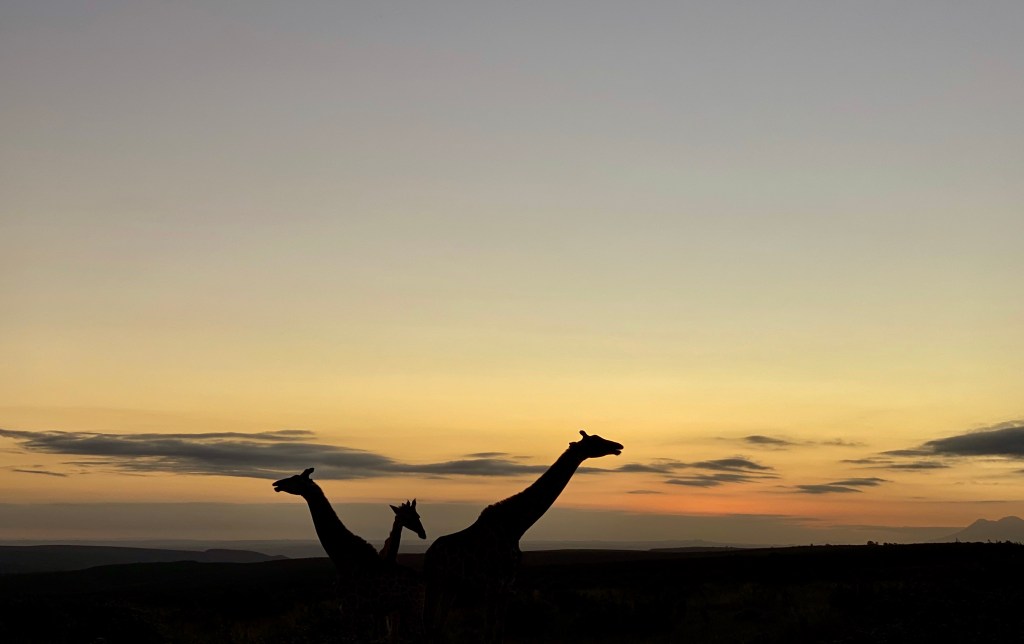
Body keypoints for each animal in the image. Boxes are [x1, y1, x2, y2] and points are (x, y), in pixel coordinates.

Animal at [272, 468, 425, 643]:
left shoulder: (349, 609)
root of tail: (423, 583)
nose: (276, 484)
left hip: (413, 607)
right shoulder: (362, 611)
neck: (342, 557)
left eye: (295, 479)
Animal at [423, 430, 624, 643]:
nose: (618, 446)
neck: (516, 527)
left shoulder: (507, 585)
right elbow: (489, 632)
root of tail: (428, 554)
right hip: (436, 582)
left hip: (451, 586)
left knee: (437, 626)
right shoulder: (493, 584)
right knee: (429, 624)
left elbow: (499, 631)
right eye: (595, 441)